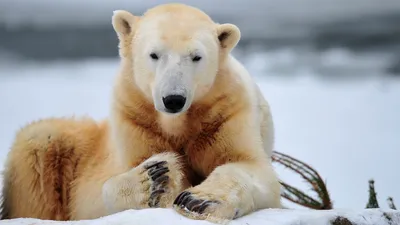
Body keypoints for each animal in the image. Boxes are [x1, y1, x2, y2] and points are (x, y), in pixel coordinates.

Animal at [0, 2, 282, 224]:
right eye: (154, 54)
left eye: (196, 56)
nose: (173, 99)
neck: (176, 123)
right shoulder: (135, 119)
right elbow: (104, 190)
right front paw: (155, 179)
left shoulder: (224, 113)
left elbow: (248, 165)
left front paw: (198, 200)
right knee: (39, 144)